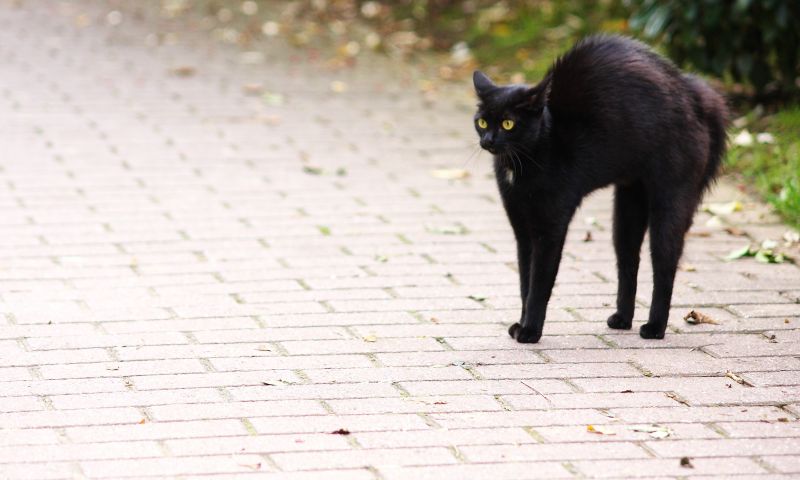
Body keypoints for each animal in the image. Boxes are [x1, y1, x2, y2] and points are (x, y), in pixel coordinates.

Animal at [472, 34, 728, 342]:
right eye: (482, 121)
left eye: (508, 123)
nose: (488, 140)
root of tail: (696, 96)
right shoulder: (522, 228)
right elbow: (525, 280)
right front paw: (521, 324)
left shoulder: (550, 227)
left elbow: (539, 283)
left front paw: (531, 330)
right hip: (629, 205)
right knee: (628, 262)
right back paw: (622, 319)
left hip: (671, 199)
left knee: (664, 265)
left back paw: (655, 328)